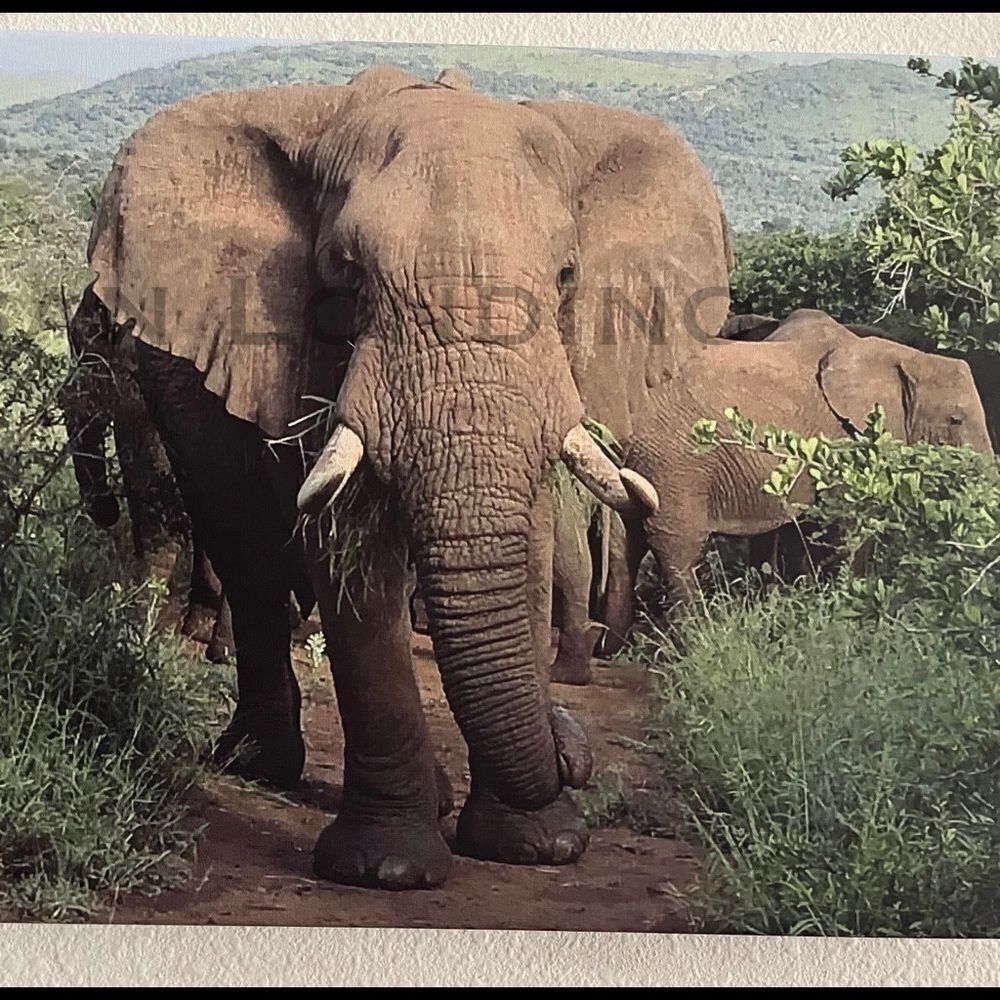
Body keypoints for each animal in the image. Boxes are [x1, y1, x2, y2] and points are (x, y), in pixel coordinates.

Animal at [81, 64, 731, 889]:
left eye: (566, 276)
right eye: (345, 274)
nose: (573, 758)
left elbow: (527, 552)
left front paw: (538, 845)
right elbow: (348, 560)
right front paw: (386, 867)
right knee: (245, 551)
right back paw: (258, 763)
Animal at [606, 308, 993, 626]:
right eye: (956, 421)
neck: (904, 356)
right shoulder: (843, 437)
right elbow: (850, 523)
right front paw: (848, 609)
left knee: (629, 544)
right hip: (677, 464)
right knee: (676, 548)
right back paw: (695, 636)